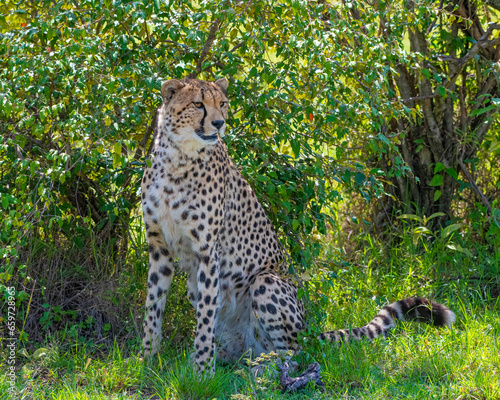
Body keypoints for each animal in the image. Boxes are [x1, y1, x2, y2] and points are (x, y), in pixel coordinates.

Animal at [140, 77, 454, 376]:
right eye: (198, 104)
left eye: (223, 104)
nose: (219, 123)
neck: (178, 157)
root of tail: (309, 331)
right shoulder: (159, 247)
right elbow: (153, 307)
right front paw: (147, 360)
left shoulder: (207, 251)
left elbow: (204, 320)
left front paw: (203, 372)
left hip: (266, 282)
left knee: (295, 352)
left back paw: (262, 368)